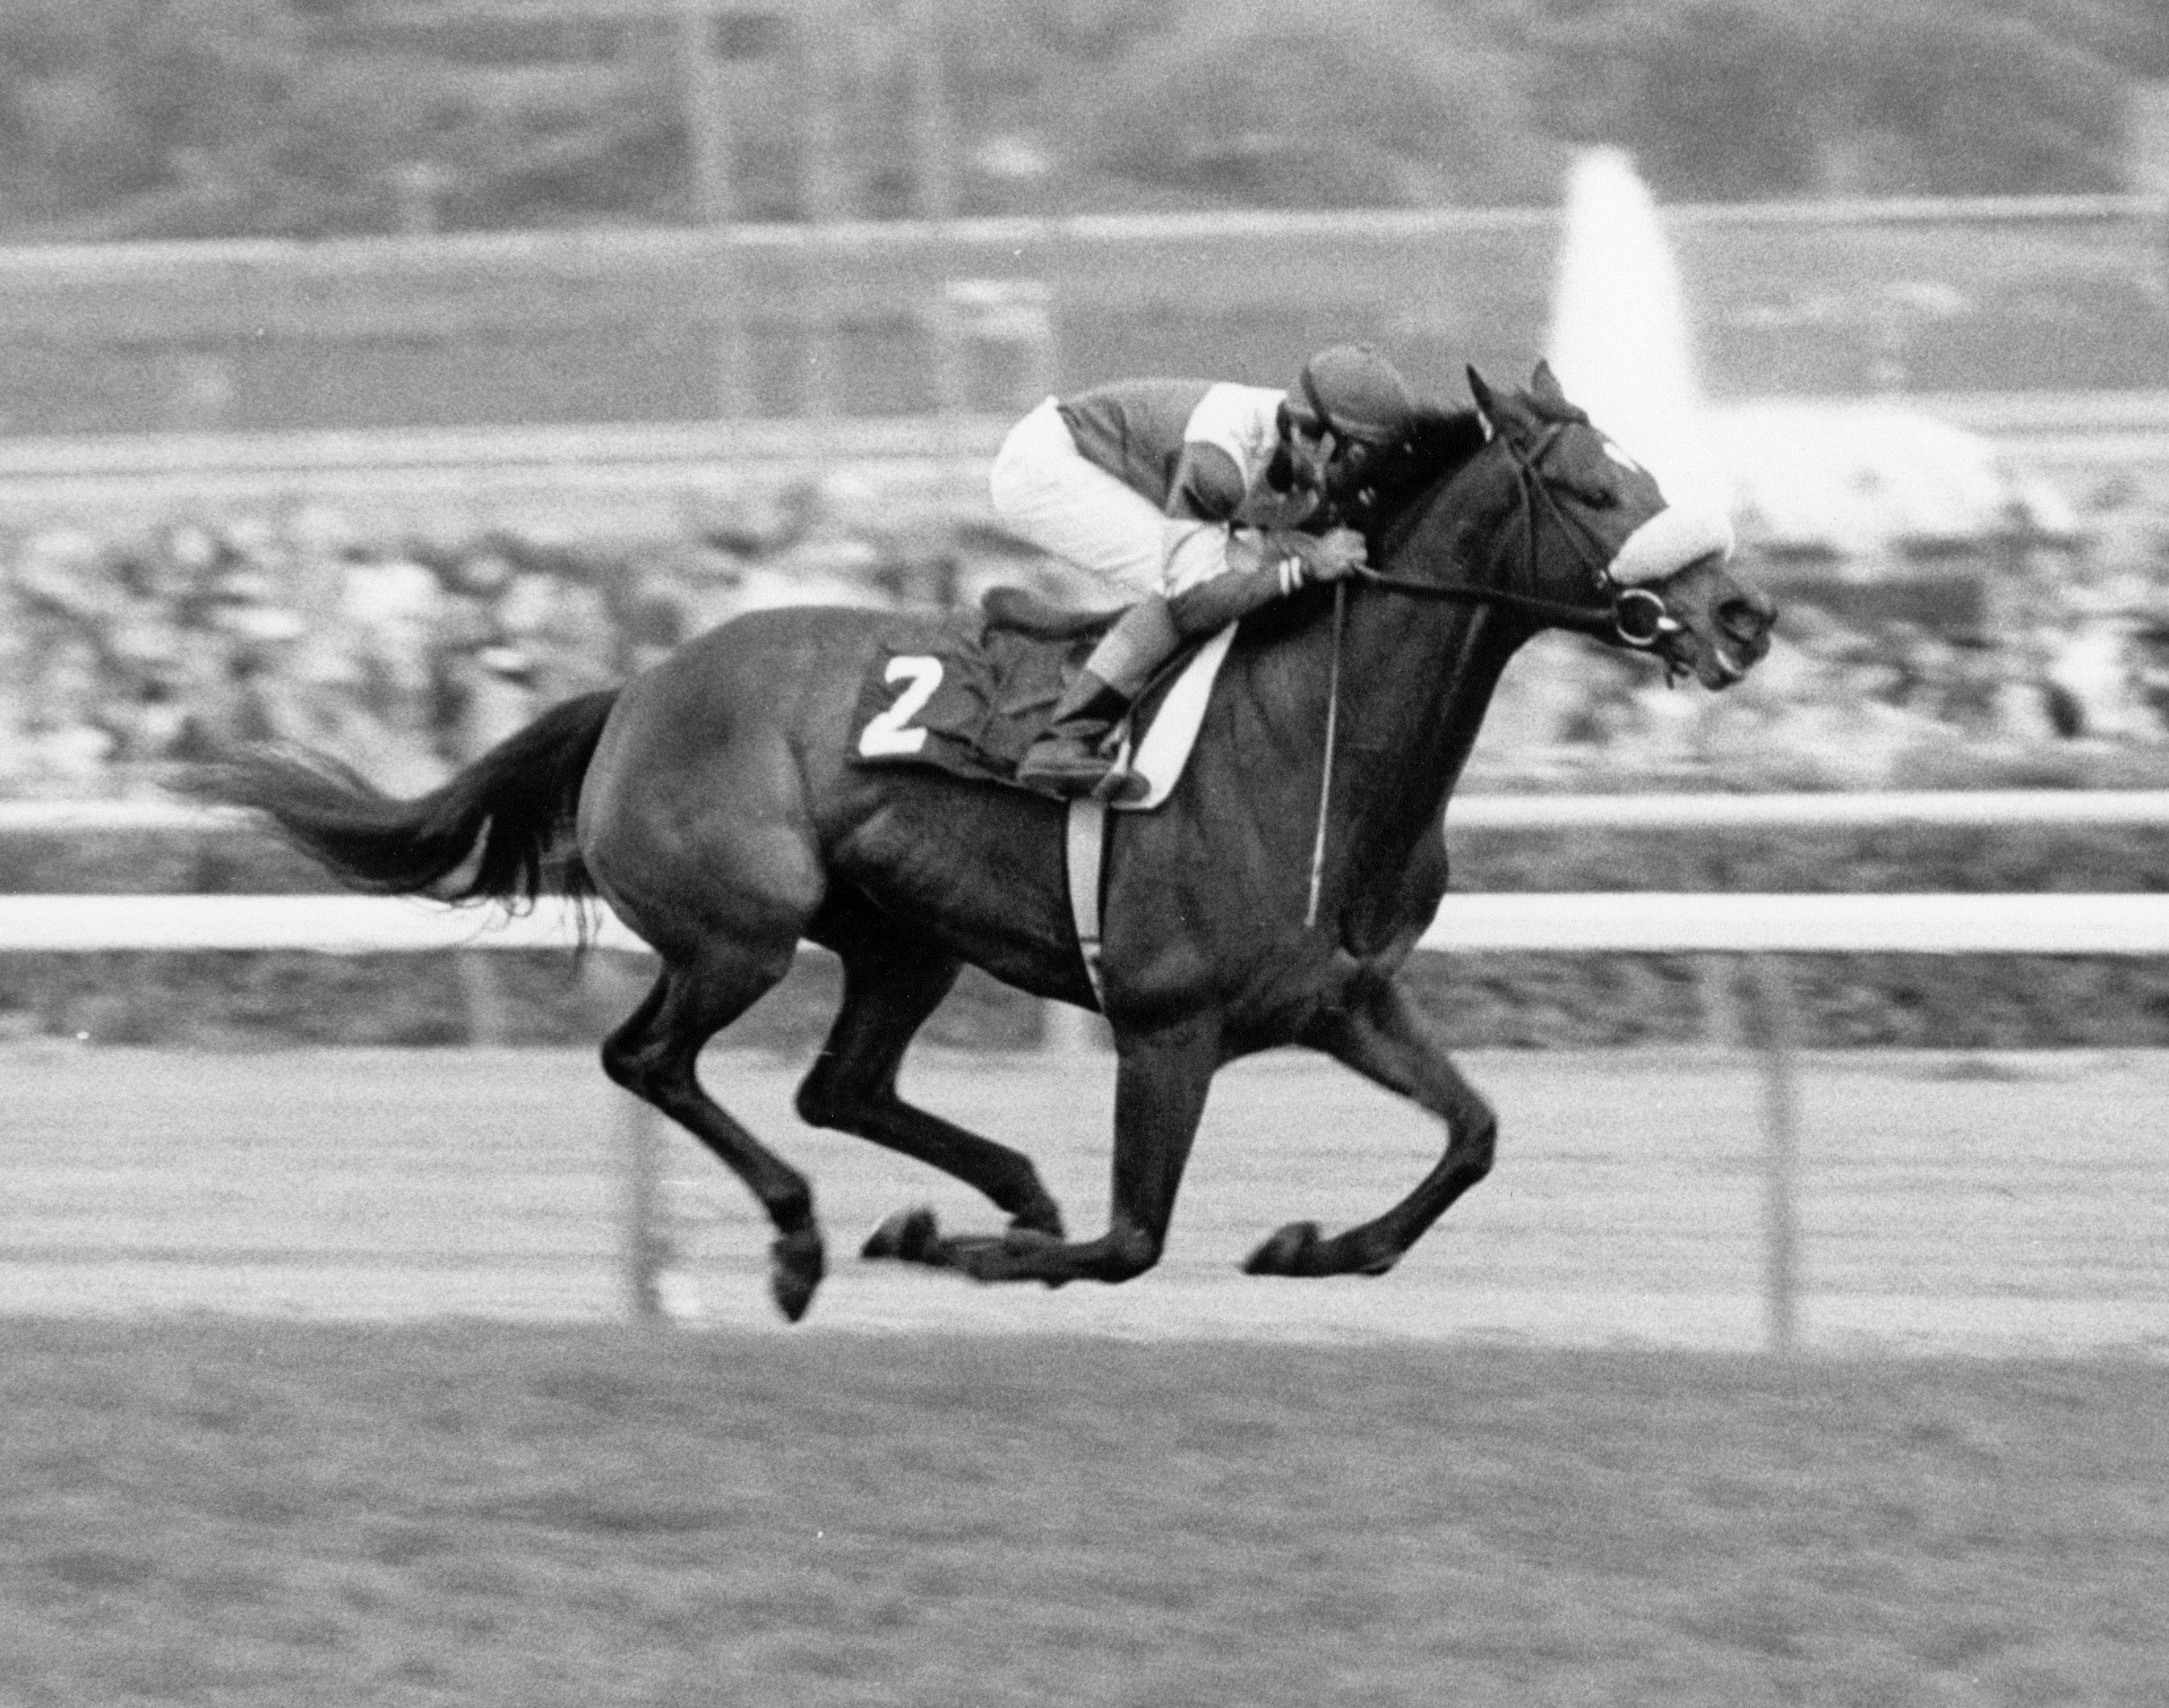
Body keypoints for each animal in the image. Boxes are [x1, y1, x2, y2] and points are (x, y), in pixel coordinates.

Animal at [182, 363, 1778, 1317]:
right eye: (1597, 490)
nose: (1746, 615)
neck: (1317, 736)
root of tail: (637, 684)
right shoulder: (1168, 1023)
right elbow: (1132, 1242)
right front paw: (963, 1249)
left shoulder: (1342, 997)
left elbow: (1474, 1136)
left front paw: (1315, 1246)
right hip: (740, 930)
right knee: (653, 1060)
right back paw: (810, 1239)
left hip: (898, 942)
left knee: (837, 1084)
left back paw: (985, 1183)